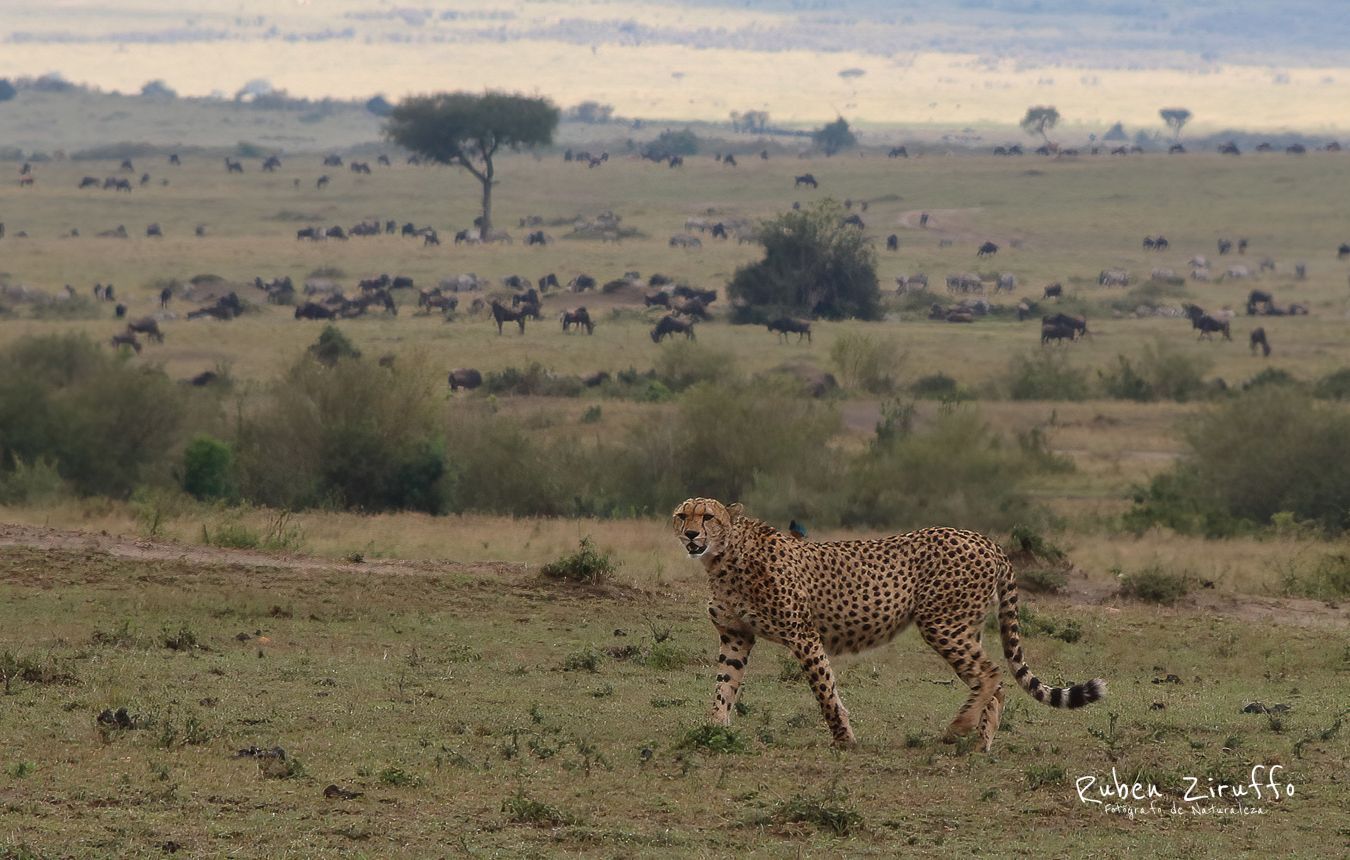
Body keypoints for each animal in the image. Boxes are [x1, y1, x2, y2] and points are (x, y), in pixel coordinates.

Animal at [675, 496, 1107, 750]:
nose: (691, 534)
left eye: (708, 516)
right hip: (965, 626)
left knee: (991, 674)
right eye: (682, 515)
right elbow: (724, 685)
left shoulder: (803, 635)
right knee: (995, 681)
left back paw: (957, 728)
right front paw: (714, 727)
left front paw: (844, 740)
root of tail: (984, 539)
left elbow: (825, 691)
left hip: (943, 624)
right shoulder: (736, 636)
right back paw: (980, 741)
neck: (725, 557)